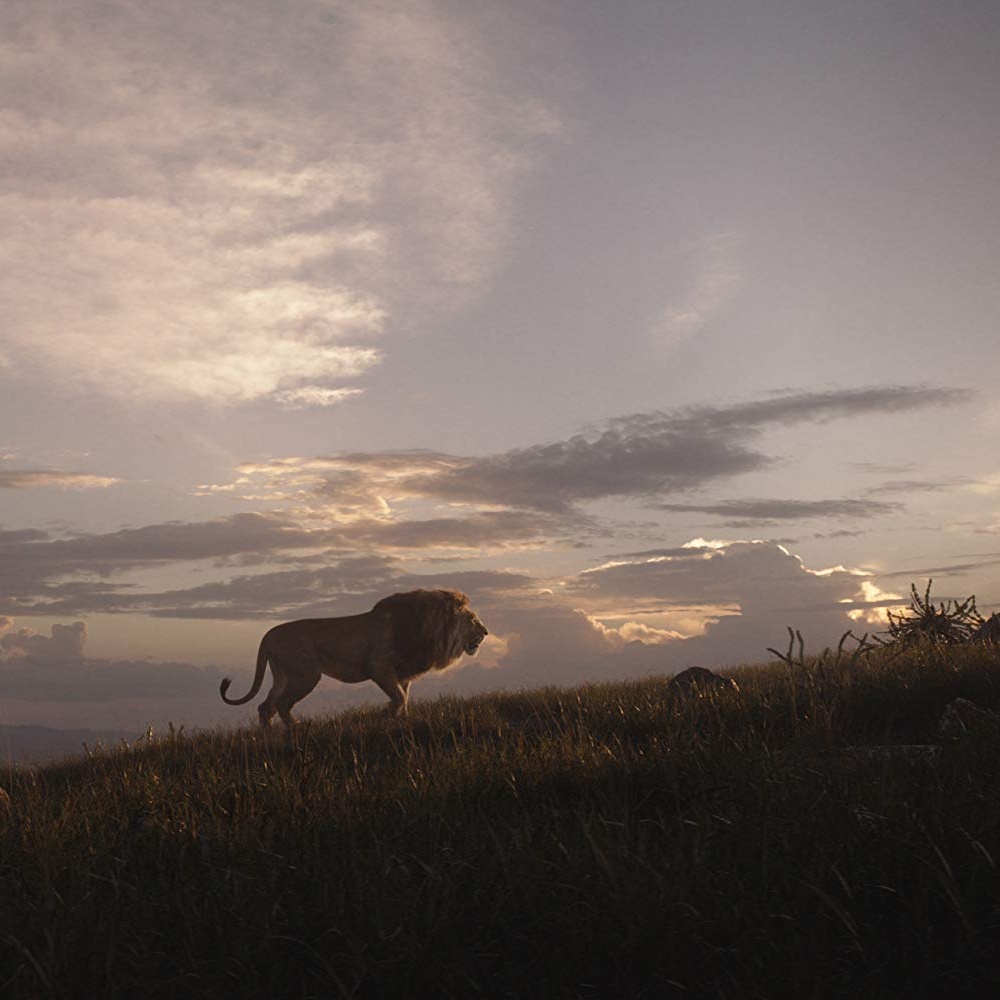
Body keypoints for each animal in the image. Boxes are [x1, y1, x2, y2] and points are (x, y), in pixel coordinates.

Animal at [220, 589, 488, 728]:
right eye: (473, 619)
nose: (486, 632)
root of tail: (267, 636)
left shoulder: (403, 673)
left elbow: (405, 697)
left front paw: (401, 721)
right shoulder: (378, 667)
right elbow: (399, 697)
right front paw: (384, 715)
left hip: (283, 675)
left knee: (266, 706)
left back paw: (270, 737)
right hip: (306, 675)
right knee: (282, 705)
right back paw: (295, 732)